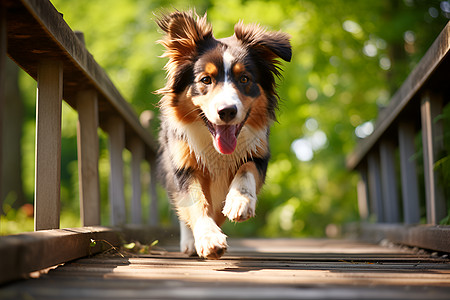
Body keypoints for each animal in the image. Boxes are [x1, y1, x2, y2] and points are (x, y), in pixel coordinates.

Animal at [156, 9, 292, 258]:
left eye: (244, 79)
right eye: (205, 80)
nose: (227, 111)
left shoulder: (259, 153)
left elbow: (246, 170)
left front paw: (239, 202)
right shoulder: (183, 165)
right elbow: (196, 202)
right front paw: (208, 238)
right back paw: (190, 242)